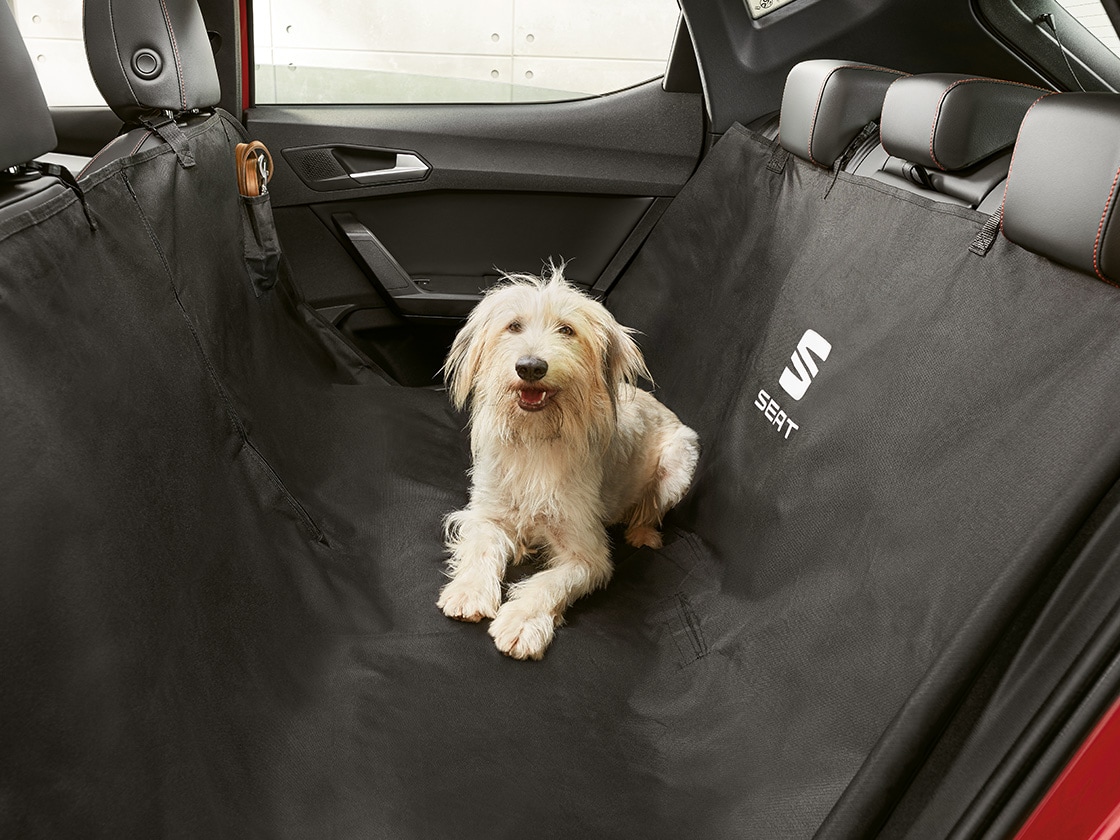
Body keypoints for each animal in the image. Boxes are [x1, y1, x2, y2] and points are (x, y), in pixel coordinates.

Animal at [436, 266, 698, 663]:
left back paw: (642, 532)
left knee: (651, 509)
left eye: (567, 330)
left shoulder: (586, 553)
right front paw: (469, 590)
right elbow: (482, 546)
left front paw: (523, 621)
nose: (530, 367)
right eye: (514, 326)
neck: (536, 439)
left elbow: (550, 582)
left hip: (679, 459)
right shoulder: (486, 513)